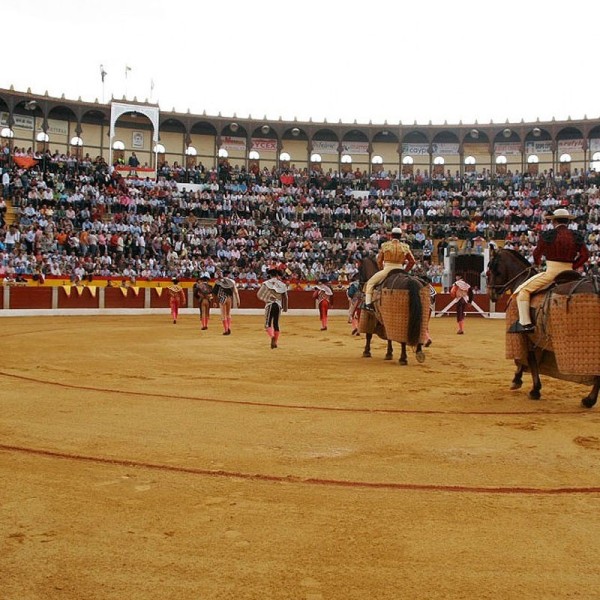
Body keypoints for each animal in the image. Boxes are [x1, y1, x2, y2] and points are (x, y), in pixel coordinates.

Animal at [488, 247, 600, 408]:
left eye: (492, 269)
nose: (491, 294)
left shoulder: (526, 335)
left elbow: (528, 359)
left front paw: (529, 387)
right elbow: (529, 360)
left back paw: (589, 400)